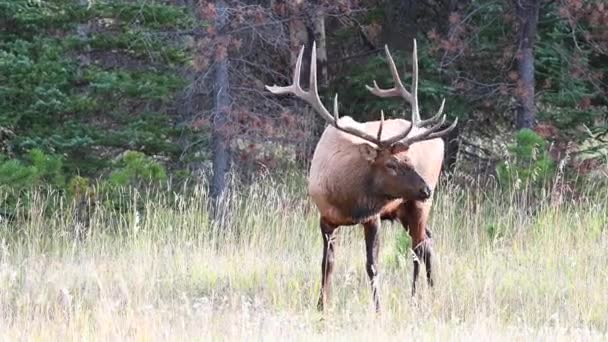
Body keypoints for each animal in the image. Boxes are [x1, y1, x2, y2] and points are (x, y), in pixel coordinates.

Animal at [266, 40, 456, 312]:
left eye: (409, 160)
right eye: (391, 164)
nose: (425, 189)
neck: (346, 200)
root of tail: (438, 139)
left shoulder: (373, 217)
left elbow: (372, 265)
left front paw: (378, 309)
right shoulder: (325, 218)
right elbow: (327, 264)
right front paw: (321, 306)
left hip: (418, 205)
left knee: (419, 247)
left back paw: (419, 296)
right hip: (403, 208)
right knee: (426, 242)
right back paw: (426, 293)